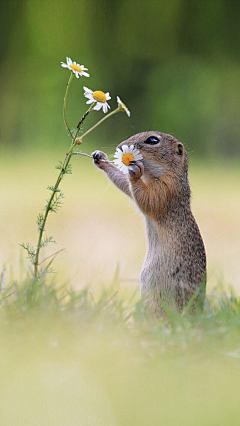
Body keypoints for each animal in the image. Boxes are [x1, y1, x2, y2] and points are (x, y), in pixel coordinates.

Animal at [92, 131, 206, 318]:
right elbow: (127, 186)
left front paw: (134, 173)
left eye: (152, 140)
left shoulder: (165, 189)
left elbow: (148, 200)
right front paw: (101, 158)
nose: (120, 147)